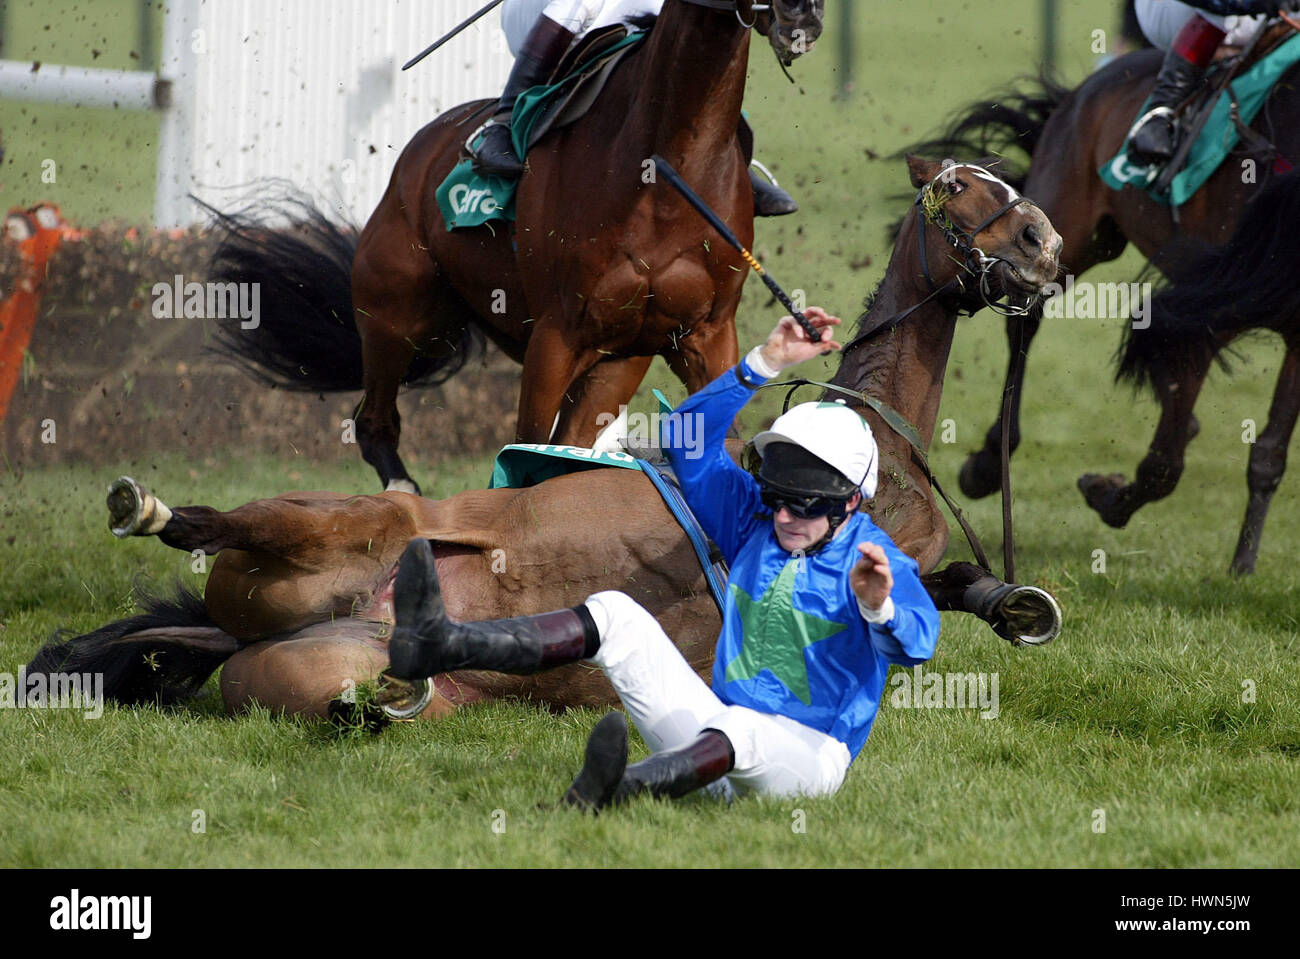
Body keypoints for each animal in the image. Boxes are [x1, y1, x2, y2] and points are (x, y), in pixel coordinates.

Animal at [209, 1, 826, 493]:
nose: (801, 15)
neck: (666, 167)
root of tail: (417, 154)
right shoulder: (557, 333)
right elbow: (525, 447)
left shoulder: (705, 331)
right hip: (394, 317)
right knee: (374, 423)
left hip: (616, 358)